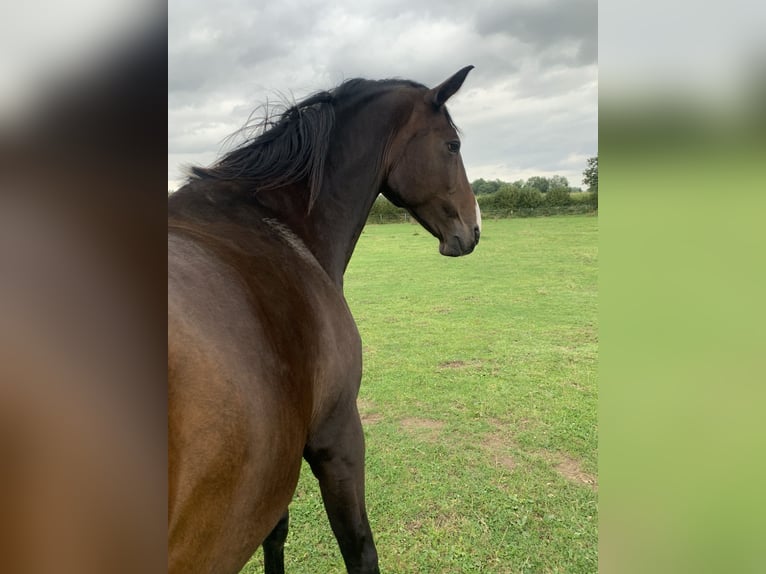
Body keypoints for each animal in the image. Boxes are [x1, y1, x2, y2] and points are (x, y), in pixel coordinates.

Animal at [170, 65, 480, 572]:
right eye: (452, 145)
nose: (474, 230)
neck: (280, 227)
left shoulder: (276, 465)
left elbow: (276, 534)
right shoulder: (338, 436)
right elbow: (360, 549)